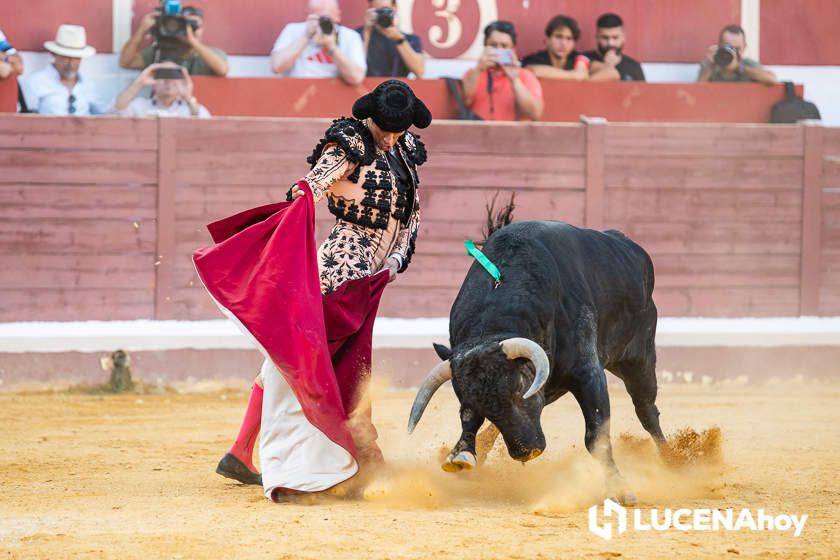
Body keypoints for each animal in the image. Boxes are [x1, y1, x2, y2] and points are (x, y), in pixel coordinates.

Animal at [408, 220, 668, 504]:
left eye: (519, 390)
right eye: (475, 404)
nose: (527, 451)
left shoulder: (588, 374)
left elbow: (595, 434)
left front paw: (619, 489)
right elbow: (471, 422)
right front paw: (462, 454)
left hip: (639, 358)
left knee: (647, 410)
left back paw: (672, 460)